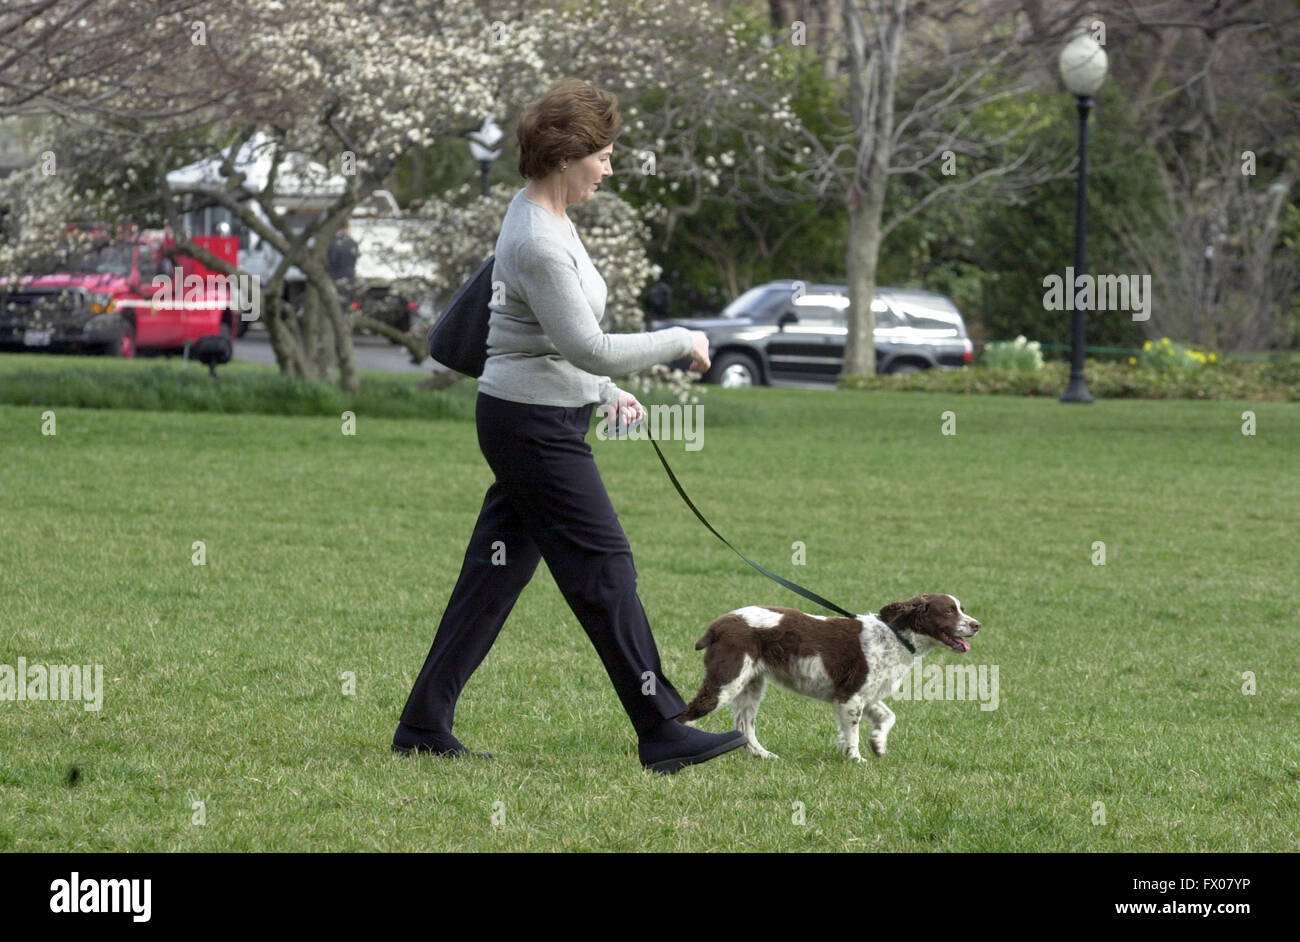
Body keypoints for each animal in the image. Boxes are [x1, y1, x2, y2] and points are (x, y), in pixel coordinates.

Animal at [681, 592, 977, 758]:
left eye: (961, 608)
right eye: (949, 610)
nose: (977, 625)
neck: (895, 636)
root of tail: (718, 624)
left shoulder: (865, 694)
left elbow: (888, 716)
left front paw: (878, 744)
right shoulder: (850, 695)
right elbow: (853, 732)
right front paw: (855, 758)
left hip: (751, 685)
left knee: (744, 725)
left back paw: (763, 755)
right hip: (727, 680)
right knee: (689, 714)